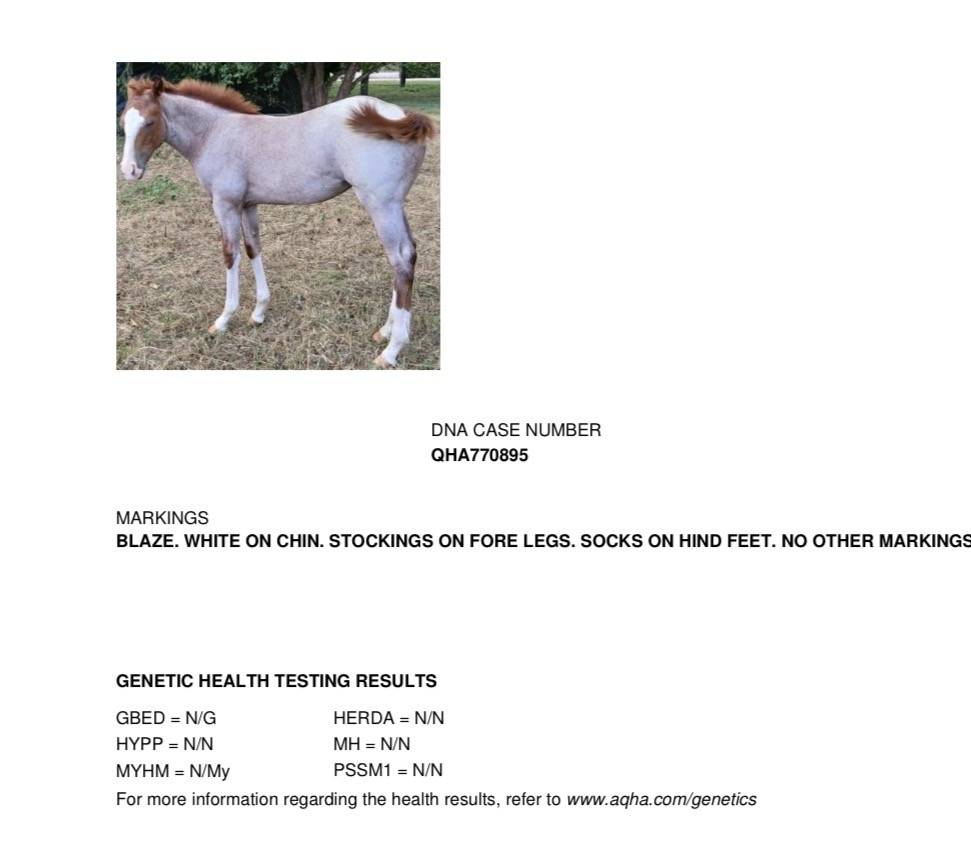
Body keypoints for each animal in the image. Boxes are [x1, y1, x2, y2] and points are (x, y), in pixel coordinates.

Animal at [119, 77, 436, 368]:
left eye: (149, 122)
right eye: (124, 122)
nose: (128, 171)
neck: (214, 132)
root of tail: (400, 115)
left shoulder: (225, 204)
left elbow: (230, 254)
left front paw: (224, 319)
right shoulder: (247, 204)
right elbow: (252, 248)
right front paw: (258, 312)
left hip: (381, 204)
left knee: (400, 260)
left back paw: (392, 349)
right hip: (395, 205)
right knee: (409, 254)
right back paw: (386, 331)